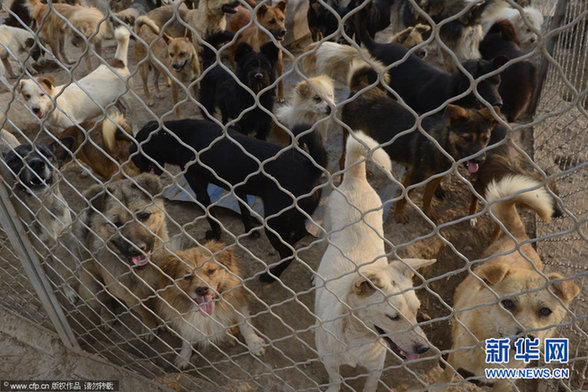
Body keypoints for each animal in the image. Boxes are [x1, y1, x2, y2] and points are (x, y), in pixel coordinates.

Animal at [130, 118, 328, 282]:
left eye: (138, 156)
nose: (138, 173)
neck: (177, 137)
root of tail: (311, 169)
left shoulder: (200, 189)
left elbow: (212, 217)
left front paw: (215, 235)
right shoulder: (238, 188)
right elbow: (244, 210)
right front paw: (250, 230)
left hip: (275, 223)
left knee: (289, 253)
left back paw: (271, 276)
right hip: (290, 218)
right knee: (300, 234)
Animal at [157, 240, 266, 370]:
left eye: (210, 271)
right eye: (187, 277)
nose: (202, 289)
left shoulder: (238, 302)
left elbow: (245, 325)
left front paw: (254, 343)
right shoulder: (186, 319)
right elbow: (186, 339)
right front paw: (184, 357)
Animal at [316, 132, 436, 392]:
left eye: (416, 311)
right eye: (393, 317)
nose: (424, 348)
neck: (357, 337)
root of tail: (355, 178)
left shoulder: (375, 368)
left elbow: (370, 384)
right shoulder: (329, 360)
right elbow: (335, 379)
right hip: (328, 229)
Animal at [342, 66, 498, 222]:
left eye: (486, 139)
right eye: (466, 138)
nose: (481, 160)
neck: (441, 145)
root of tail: (358, 87)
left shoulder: (436, 177)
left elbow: (428, 196)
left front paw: (428, 211)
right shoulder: (413, 176)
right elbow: (404, 198)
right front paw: (399, 214)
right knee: (342, 160)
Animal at [434, 175, 580, 392]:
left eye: (545, 311)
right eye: (508, 303)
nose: (527, 340)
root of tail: (518, 235)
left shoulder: (505, 382)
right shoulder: (454, 359)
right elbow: (446, 376)